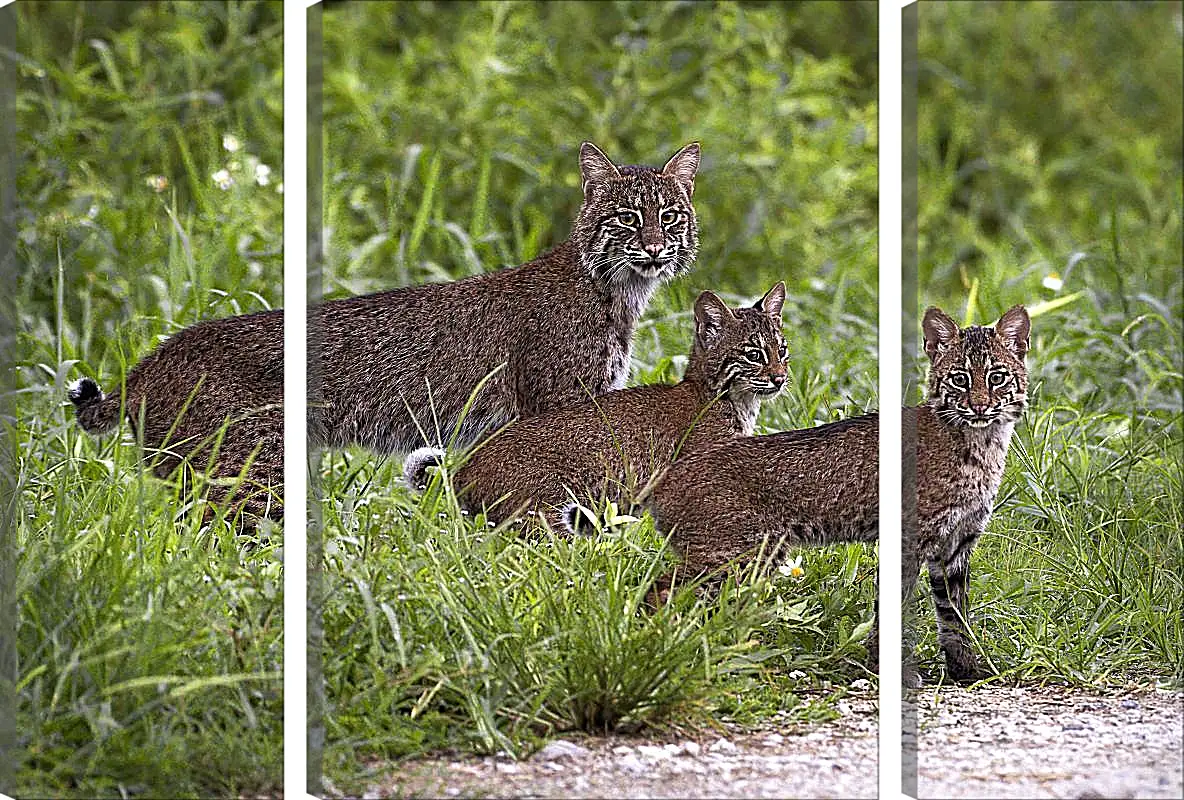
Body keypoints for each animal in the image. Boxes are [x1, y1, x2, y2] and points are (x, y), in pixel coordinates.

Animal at [69, 142, 700, 518]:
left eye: (670, 217)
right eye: (626, 218)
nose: (653, 249)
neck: (620, 290)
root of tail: (151, 359)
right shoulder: (557, 405)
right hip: (250, 473)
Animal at [404, 282, 786, 530]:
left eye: (782, 351)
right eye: (754, 355)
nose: (781, 378)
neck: (733, 400)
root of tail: (465, 465)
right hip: (546, 510)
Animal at [648, 302, 1027, 686]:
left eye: (997, 377)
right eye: (959, 379)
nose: (979, 407)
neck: (982, 441)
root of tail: (668, 476)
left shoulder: (957, 543)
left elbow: (954, 615)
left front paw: (967, 672)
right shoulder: (911, 539)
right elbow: (896, 605)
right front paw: (889, 669)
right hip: (734, 556)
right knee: (659, 591)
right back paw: (667, 651)